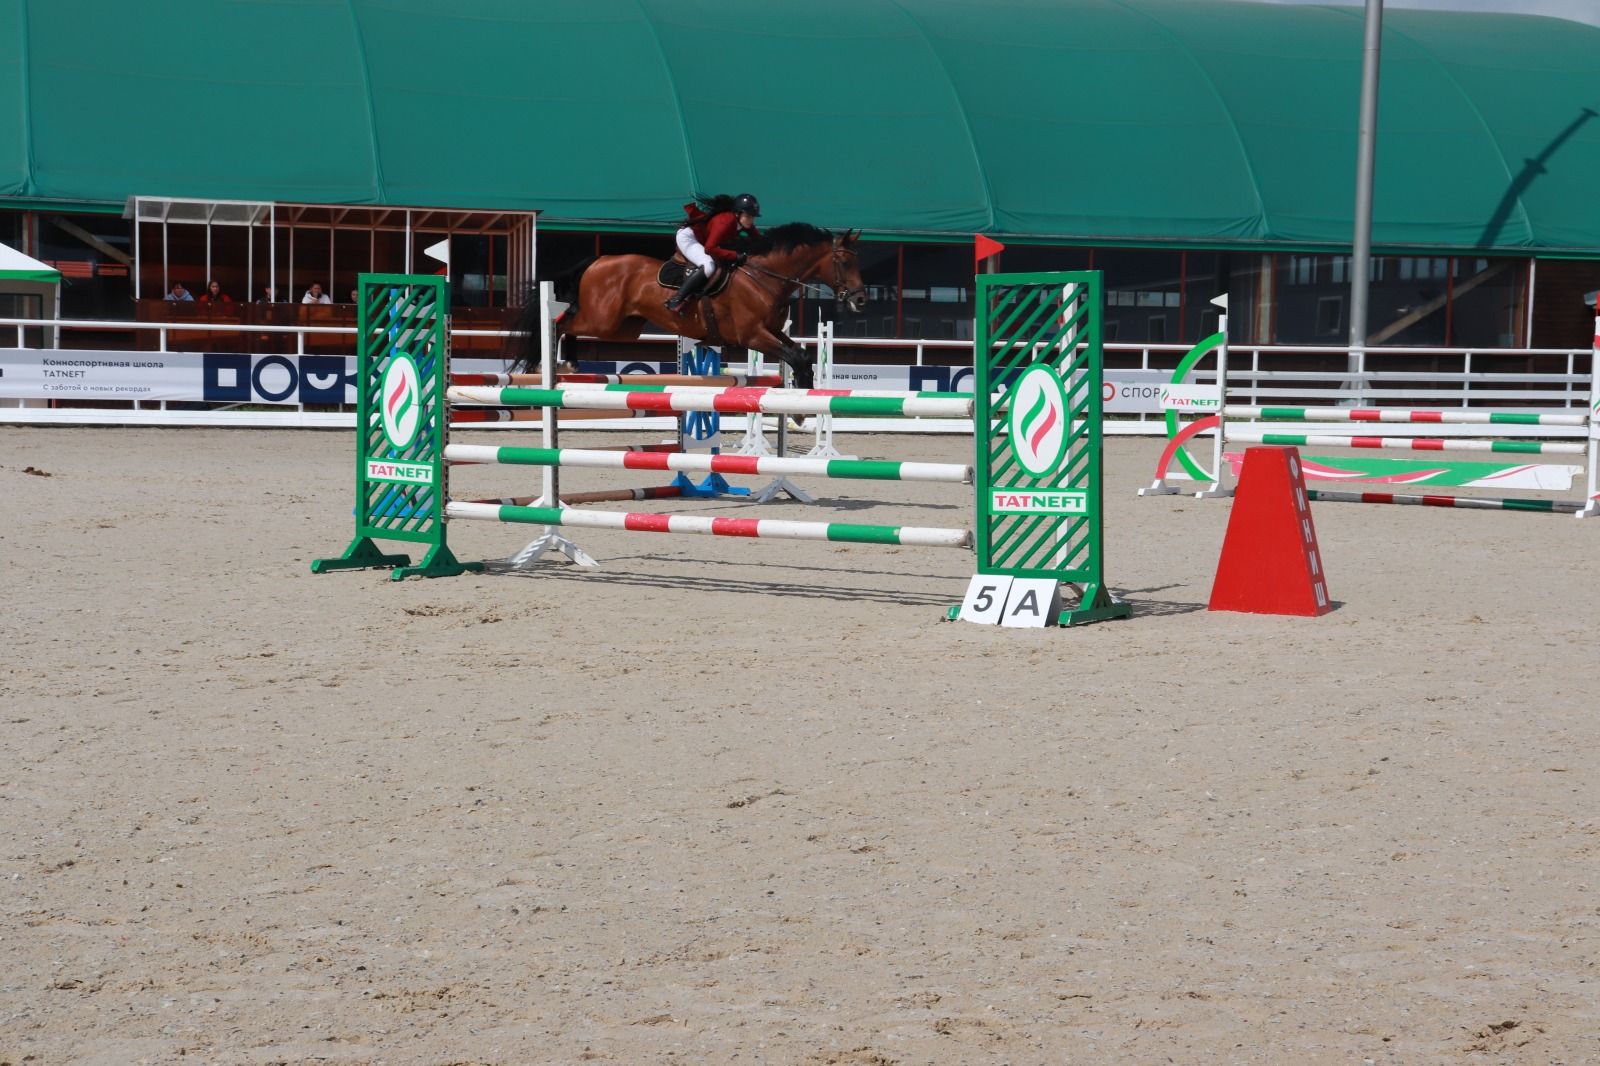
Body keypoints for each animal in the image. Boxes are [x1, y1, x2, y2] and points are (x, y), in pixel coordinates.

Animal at [508, 222, 864, 388]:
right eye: (845, 262)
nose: (860, 299)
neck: (764, 278)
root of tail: (598, 260)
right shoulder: (752, 336)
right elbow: (796, 356)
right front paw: (802, 405)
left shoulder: (773, 332)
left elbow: (800, 354)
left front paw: (804, 392)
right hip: (602, 319)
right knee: (563, 322)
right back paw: (551, 364)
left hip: (623, 328)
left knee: (573, 325)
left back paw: (569, 362)